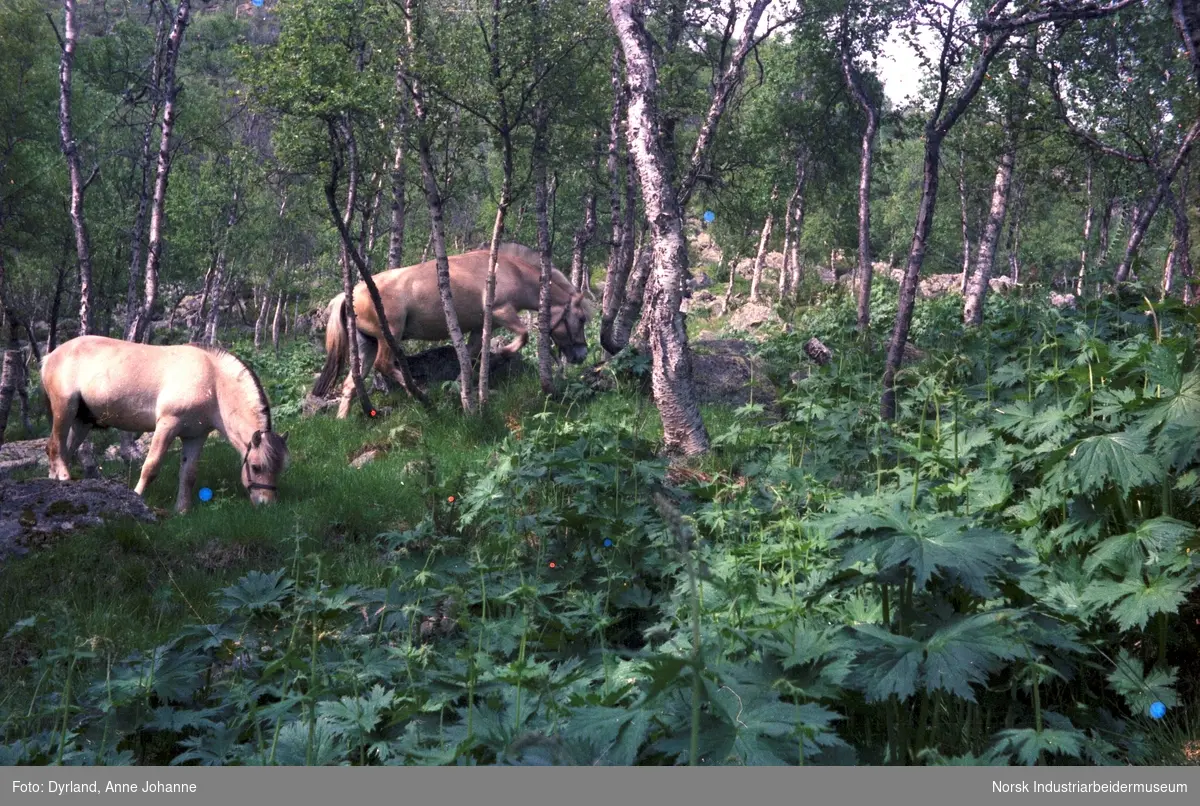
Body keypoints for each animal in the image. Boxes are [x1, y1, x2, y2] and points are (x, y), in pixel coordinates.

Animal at [41, 335, 289, 513]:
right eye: (256, 467)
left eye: (280, 468)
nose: (267, 504)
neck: (212, 381)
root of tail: (50, 356)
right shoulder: (167, 425)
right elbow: (151, 467)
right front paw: (137, 499)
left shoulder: (195, 436)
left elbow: (188, 474)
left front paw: (182, 511)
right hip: (65, 409)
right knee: (55, 447)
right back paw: (64, 478)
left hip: (82, 421)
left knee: (61, 449)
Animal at [314, 241, 595, 419]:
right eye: (581, 319)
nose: (581, 355)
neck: (507, 269)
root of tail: (350, 293)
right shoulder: (501, 311)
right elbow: (523, 334)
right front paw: (503, 352)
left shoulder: (478, 328)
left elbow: (468, 355)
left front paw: (461, 387)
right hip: (388, 336)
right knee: (384, 365)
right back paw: (418, 392)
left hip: (368, 344)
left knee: (351, 383)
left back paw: (343, 421)